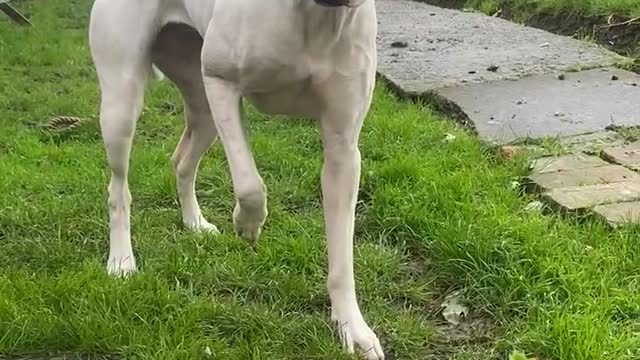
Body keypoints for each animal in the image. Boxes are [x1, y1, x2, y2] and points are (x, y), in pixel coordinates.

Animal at [88, 0, 382, 358]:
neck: (312, 14)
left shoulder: (343, 150)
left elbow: (342, 259)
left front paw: (352, 327)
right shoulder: (221, 81)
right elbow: (250, 185)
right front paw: (247, 225)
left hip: (202, 104)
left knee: (182, 162)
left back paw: (194, 222)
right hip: (123, 101)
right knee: (118, 189)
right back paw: (121, 261)